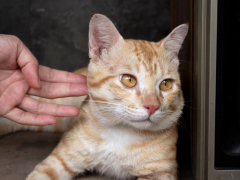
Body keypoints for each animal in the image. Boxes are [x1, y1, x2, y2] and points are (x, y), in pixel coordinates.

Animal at [0, 13, 188, 179]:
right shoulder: (59, 161)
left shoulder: (159, 172)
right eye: (129, 80)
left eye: (166, 84)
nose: (152, 107)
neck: (122, 132)